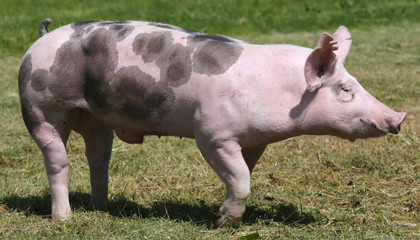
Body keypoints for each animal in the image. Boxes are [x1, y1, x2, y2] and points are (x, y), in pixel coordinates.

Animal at [18, 18, 406, 227]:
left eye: (356, 82)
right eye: (346, 89)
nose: (399, 118)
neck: (281, 91)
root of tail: (40, 38)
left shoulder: (254, 140)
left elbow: (243, 176)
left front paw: (225, 216)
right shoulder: (212, 134)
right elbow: (241, 179)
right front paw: (221, 222)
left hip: (97, 117)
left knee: (98, 156)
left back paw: (104, 208)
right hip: (39, 106)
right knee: (57, 161)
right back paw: (64, 218)